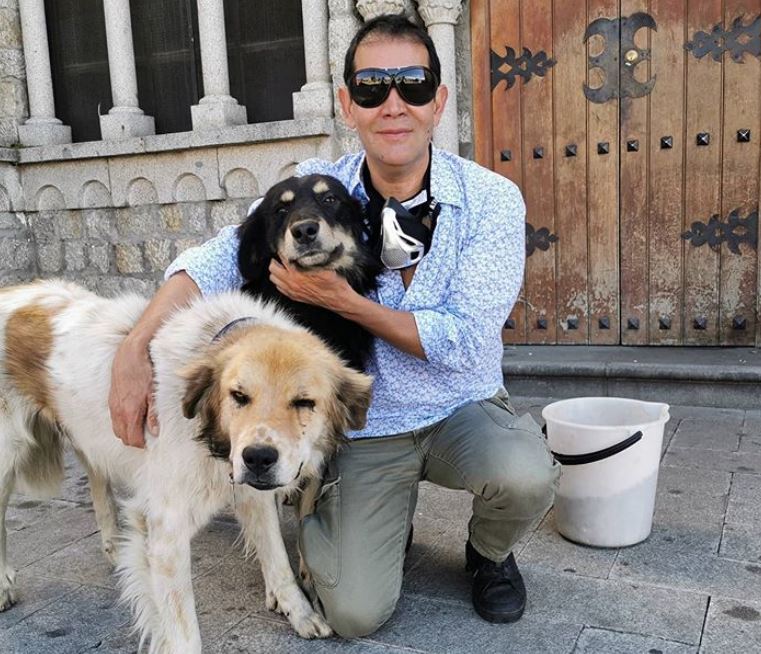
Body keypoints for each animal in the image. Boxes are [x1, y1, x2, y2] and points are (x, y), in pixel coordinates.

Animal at [0, 280, 372, 652]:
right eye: (238, 396)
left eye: (304, 402)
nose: (257, 458)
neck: (206, 433)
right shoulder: (166, 532)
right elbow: (183, 630)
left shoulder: (253, 493)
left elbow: (277, 558)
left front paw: (299, 612)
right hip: (6, 460)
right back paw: (4, 583)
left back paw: (114, 547)